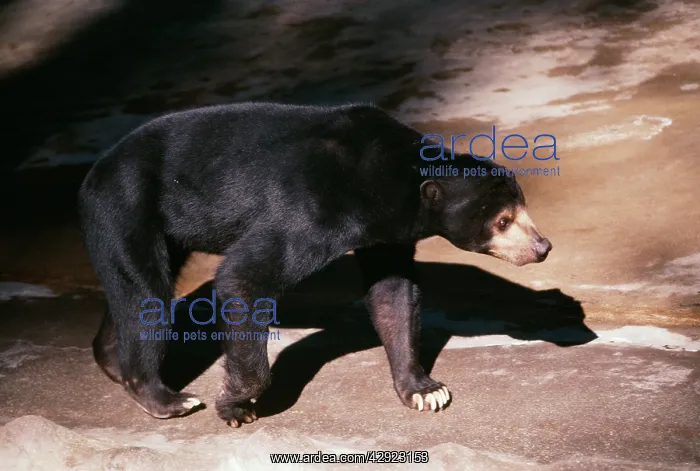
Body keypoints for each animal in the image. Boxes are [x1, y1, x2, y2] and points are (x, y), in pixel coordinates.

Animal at [78, 102, 552, 427]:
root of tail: (95, 172)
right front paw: (236, 406)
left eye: (524, 209)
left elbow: (394, 296)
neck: (387, 180)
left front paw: (426, 391)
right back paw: (165, 397)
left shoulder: (387, 232)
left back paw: (111, 361)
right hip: (128, 205)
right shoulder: (313, 205)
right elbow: (244, 277)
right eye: (503, 220)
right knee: (146, 293)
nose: (543, 246)